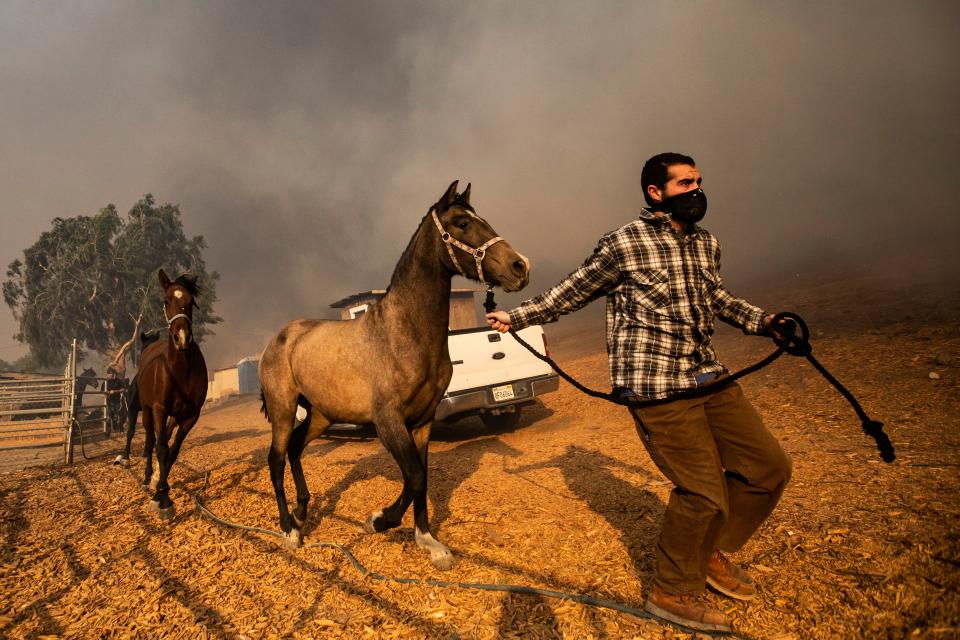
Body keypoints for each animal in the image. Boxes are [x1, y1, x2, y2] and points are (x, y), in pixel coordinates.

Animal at [129, 270, 206, 520]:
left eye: (191, 302)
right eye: (166, 300)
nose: (182, 338)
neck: (180, 371)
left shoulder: (191, 416)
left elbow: (173, 452)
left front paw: (162, 491)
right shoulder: (159, 410)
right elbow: (161, 449)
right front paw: (161, 499)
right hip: (147, 412)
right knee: (151, 440)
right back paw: (147, 476)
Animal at [258, 181, 528, 568]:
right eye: (461, 223)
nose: (520, 266)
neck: (403, 332)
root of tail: (279, 338)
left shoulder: (423, 421)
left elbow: (422, 477)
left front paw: (429, 541)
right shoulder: (388, 421)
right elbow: (413, 477)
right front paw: (379, 520)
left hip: (321, 415)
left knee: (295, 450)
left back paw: (302, 512)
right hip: (283, 411)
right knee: (277, 459)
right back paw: (289, 529)